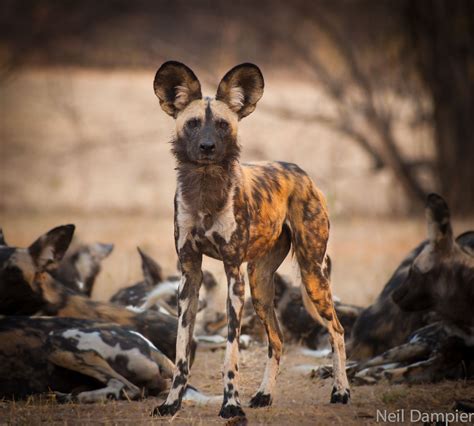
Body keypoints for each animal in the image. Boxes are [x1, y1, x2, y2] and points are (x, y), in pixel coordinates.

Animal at [152, 61, 348, 418]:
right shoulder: (190, 275)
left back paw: (341, 391)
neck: (205, 191)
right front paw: (172, 403)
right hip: (260, 285)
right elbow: (181, 352)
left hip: (311, 275)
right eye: (192, 124)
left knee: (336, 331)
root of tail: (301, 172)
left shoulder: (233, 274)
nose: (207, 147)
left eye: (222, 125)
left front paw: (231, 404)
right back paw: (264, 394)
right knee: (278, 339)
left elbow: (230, 354)